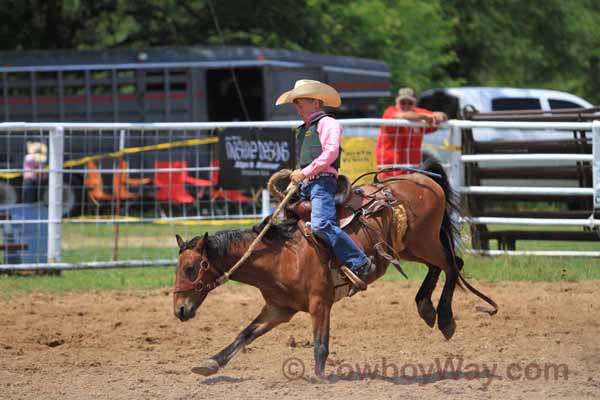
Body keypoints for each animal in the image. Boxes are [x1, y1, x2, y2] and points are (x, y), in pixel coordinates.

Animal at [172, 158, 496, 376]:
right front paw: (210, 362)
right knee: (441, 267)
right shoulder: (279, 309)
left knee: (453, 265)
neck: (281, 257)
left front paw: (320, 379)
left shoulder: (320, 303)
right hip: (411, 248)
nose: (179, 310)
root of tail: (424, 179)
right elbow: (245, 333)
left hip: (424, 243)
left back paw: (445, 319)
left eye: (190, 269)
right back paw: (426, 308)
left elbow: (320, 345)